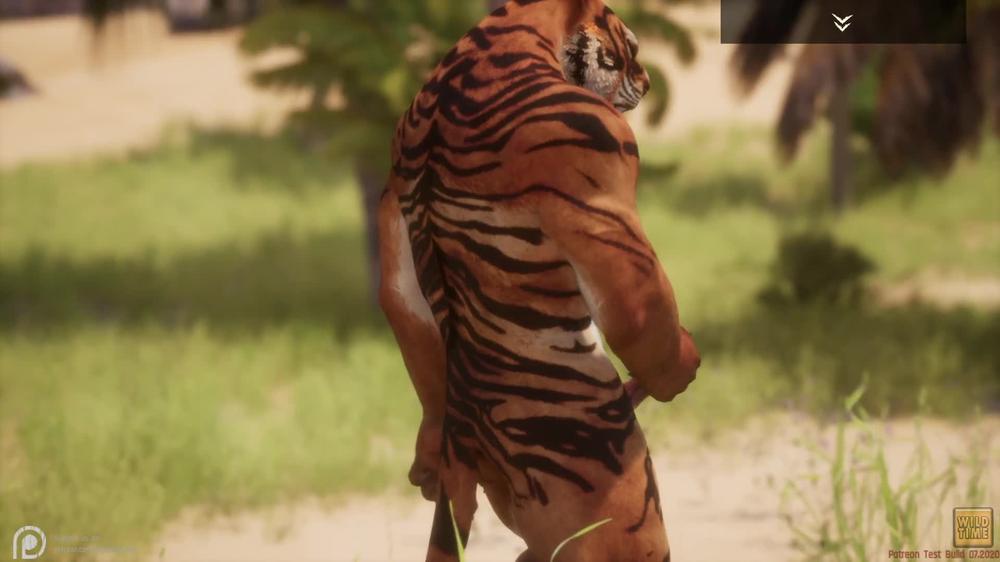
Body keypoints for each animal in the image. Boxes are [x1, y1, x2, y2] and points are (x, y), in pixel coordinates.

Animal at [377, 0, 701, 560]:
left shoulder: (390, 204)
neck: (504, 35)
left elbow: (397, 297)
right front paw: (679, 369)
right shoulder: (603, 154)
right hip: (618, 511)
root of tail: (465, 439)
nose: (647, 83)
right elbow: (637, 318)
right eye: (632, 48)